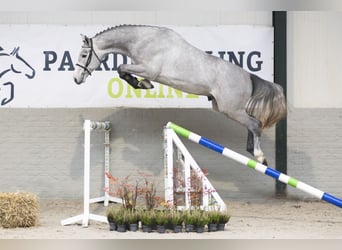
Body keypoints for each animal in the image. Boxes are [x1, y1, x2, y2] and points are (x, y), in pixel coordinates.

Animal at [73, 24, 286, 166]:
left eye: (84, 55)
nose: (76, 79)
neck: (143, 40)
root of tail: (249, 76)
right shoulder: (146, 70)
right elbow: (125, 71)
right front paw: (142, 84)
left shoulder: (149, 69)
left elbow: (122, 68)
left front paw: (138, 83)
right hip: (225, 108)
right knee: (251, 124)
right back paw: (253, 152)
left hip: (231, 109)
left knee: (255, 124)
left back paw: (259, 156)